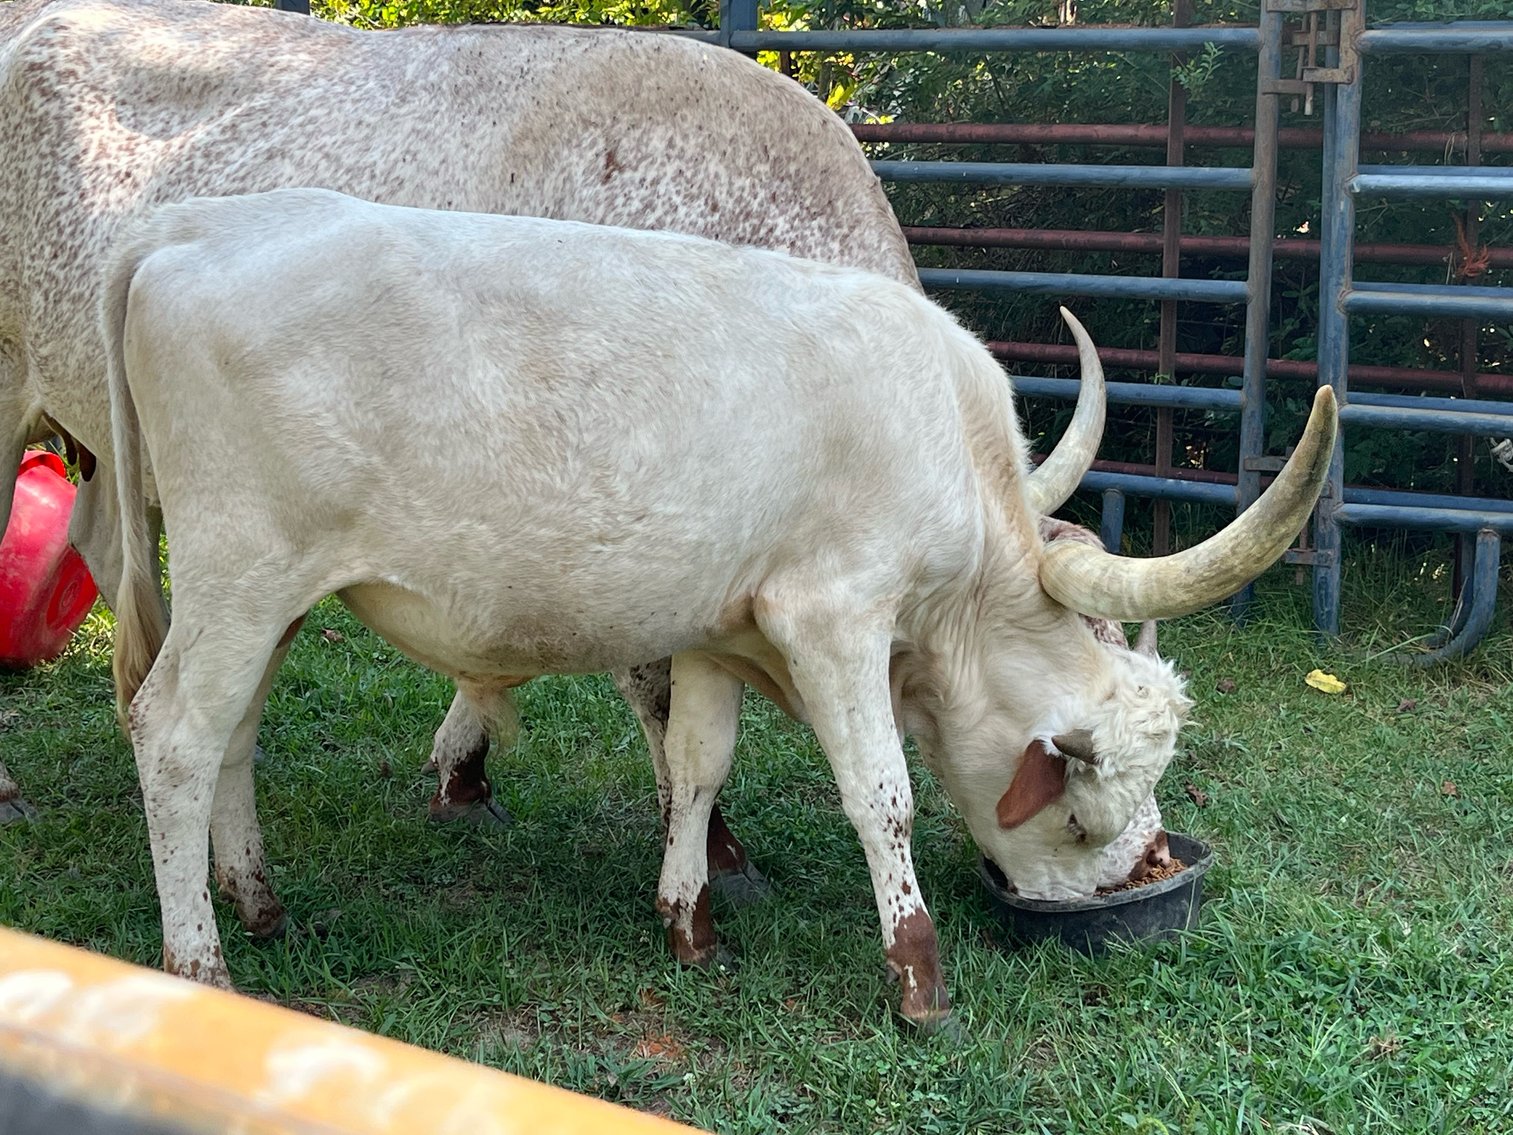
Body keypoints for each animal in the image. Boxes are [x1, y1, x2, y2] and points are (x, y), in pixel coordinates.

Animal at [103, 189, 1336, 1029]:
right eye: (1082, 808)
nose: (1143, 875)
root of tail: (189, 225)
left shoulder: (711, 631)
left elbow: (697, 765)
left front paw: (687, 919)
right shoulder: (835, 617)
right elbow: (881, 795)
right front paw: (918, 976)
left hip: (263, 599)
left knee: (232, 734)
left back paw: (254, 898)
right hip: (240, 574)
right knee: (174, 735)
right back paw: (201, 962)